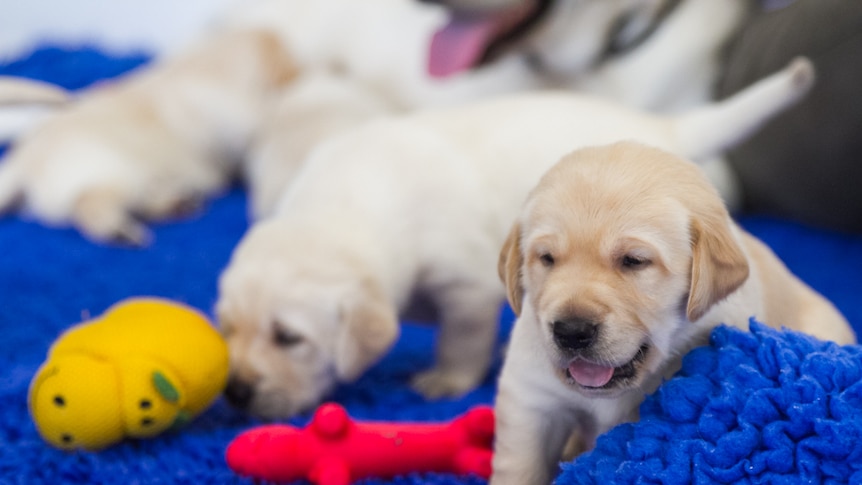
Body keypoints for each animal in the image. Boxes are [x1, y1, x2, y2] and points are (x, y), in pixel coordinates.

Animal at [216, 57, 816, 420]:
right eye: (228, 329)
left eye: (288, 338)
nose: (236, 392)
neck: (347, 202)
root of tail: (665, 130)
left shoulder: (466, 286)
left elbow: (462, 337)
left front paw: (447, 379)